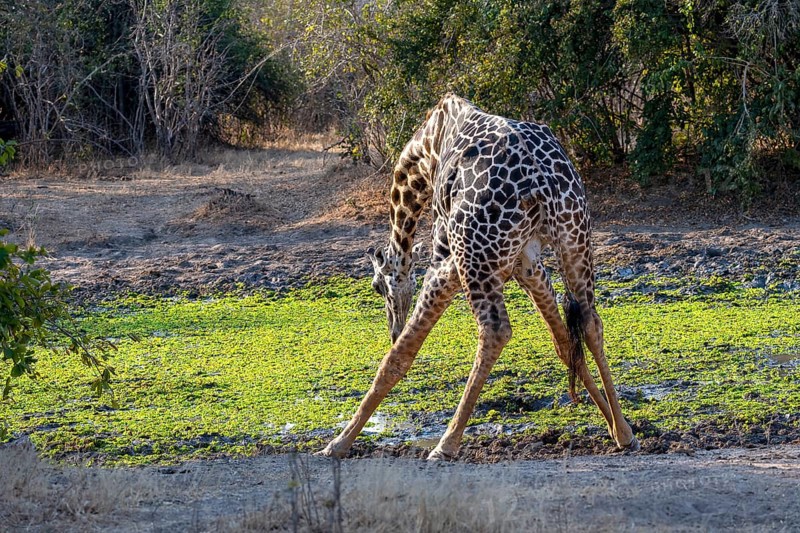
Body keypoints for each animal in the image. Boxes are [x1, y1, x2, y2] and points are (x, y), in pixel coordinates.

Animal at [318, 93, 639, 461]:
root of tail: (543, 182)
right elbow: (563, 343)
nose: (392, 328)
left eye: (375, 287)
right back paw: (625, 433)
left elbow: (399, 356)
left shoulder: (446, 257)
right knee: (590, 321)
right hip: (575, 239)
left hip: (474, 253)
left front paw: (337, 444)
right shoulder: (527, 264)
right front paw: (615, 426)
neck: (425, 153)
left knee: (495, 331)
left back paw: (446, 444)